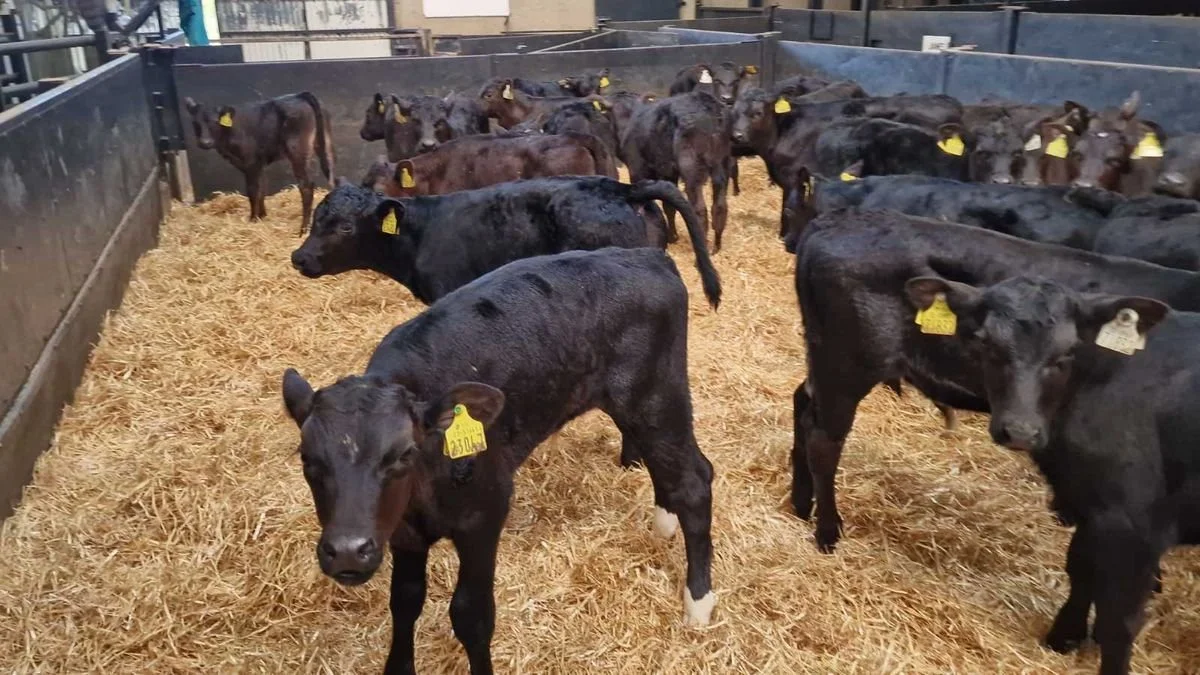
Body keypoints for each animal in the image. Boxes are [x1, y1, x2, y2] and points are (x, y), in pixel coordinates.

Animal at [184, 91, 333, 235]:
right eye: (194, 122)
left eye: (215, 121)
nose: (205, 142)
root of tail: (300, 95)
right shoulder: (259, 164)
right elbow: (262, 187)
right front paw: (262, 216)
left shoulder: (251, 163)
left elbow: (253, 190)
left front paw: (253, 218)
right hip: (324, 143)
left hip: (297, 150)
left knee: (306, 186)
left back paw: (303, 229)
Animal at [281, 247, 718, 675]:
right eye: (308, 458)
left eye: (404, 453)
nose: (347, 551)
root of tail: (646, 256)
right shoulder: (402, 532)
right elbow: (404, 601)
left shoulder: (485, 514)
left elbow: (471, 615)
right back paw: (664, 524)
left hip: (655, 396)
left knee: (695, 480)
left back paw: (698, 603)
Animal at [621, 92, 733, 252]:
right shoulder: (669, 174)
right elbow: (670, 206)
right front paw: (672, 236)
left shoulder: (637, 170)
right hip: (722, 163)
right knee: (720, 206)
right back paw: (716, 245)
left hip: (691, 168)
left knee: (699, 209)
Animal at [789, 208, 1200, 553]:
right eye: (985, 342)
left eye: (1067, 353)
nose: (1020, 432)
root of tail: (836, 219)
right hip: (846, 366)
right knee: (824, 440)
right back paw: (827, 531)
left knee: (802, 403)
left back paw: (801, 502)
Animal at [903, 273, 1198, 675]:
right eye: (986, 342)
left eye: (1066, 353)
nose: (1021, 431)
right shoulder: (1091, 505)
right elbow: (1081, 568)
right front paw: (1064, 637)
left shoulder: (1136, 525)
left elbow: (1120, 619)